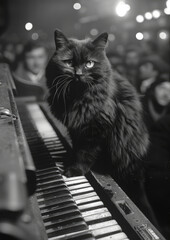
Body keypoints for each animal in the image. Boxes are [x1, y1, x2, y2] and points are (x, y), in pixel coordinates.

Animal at [46, 29, 149, 177]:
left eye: (89, 63)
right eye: (69, 63)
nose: (78, 74)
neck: (78, 98)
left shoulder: (96, 129)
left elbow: (84, 153)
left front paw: (75, 169)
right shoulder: (75, 127)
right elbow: (76, 147)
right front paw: (69, 159)